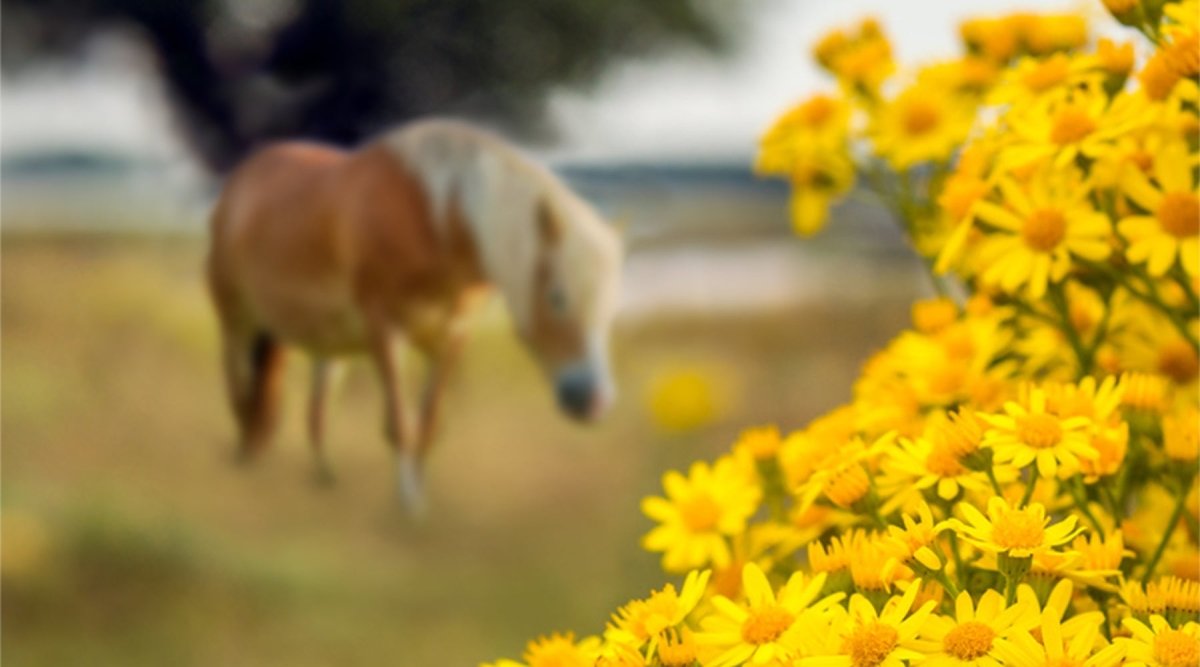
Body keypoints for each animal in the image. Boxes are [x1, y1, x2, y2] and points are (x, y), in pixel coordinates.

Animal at [205, 116, 624, 511]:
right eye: (557, 297)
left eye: (609, 308)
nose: (592, 401)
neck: (436, 221)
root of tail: (241, 180)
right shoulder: (386, 332)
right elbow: (401, 425)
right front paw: (408, 508)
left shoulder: (451, 338)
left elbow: (429, 424)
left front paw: (419, 499)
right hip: (236, 320)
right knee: (239, 388)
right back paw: (245, 461)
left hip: (327, 340)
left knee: (316, 407)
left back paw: (322, 477)